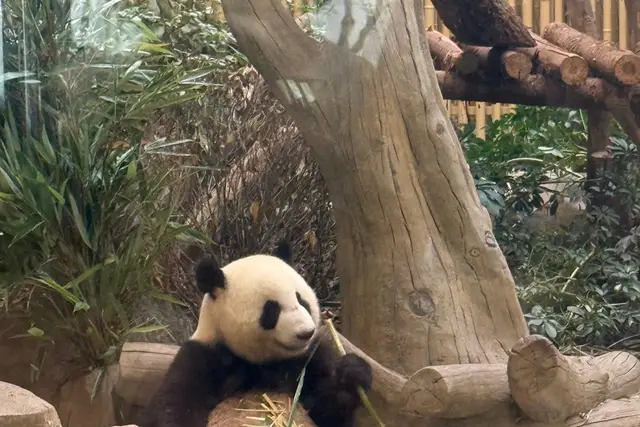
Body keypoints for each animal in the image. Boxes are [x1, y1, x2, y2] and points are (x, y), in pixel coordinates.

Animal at [141, 240, 373, 427]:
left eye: (301, 300)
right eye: (272, 309)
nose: (306, 333)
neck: (264, 362)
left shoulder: (307, 360)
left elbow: (327, 409)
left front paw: (352, 373)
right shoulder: (204, 357)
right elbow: (174, 404)